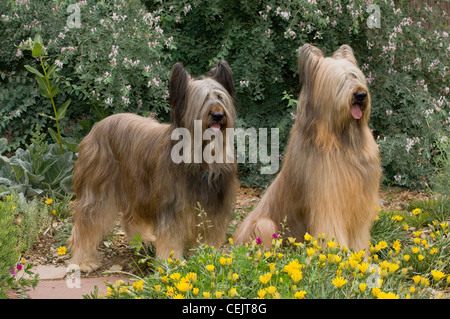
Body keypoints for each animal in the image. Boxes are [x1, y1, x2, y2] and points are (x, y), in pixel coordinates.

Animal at [69, 60, 239, 272]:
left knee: (130, 216)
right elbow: (171, 240)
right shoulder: (172, 208)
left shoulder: (214, 209)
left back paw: (144, 239)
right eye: (202, 101)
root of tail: (97, 125)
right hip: (99, 188)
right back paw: (83, 261)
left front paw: (207, 261)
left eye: (220, 98)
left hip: (135, 187)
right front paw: (171, 265)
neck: (202, 159)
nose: (217, 115)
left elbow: (209, 239)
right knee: (86, 223)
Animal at [234, 44, 382, 252]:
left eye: (355, 76)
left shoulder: (359, 208)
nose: (361, 95)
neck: (342, 141)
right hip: (264, 224)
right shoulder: (328, 204)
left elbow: (359, 238)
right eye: (339, 82)